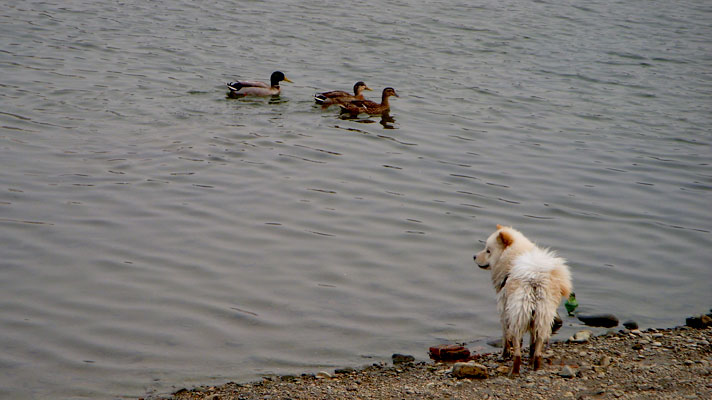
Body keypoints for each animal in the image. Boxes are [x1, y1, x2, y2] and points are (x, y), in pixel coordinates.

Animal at [472, 225, 572, 376]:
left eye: (488, 250)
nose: (474, 256)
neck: (511, 259)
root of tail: (535, 280)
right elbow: (531, 342)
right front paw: (529, 357)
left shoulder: (504, 311)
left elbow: (505, 338)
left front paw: (504, 355)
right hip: (543, 316)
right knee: (538, 349)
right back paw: (536, 367)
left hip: (518, 315)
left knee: (517, 351)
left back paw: (514, 371)